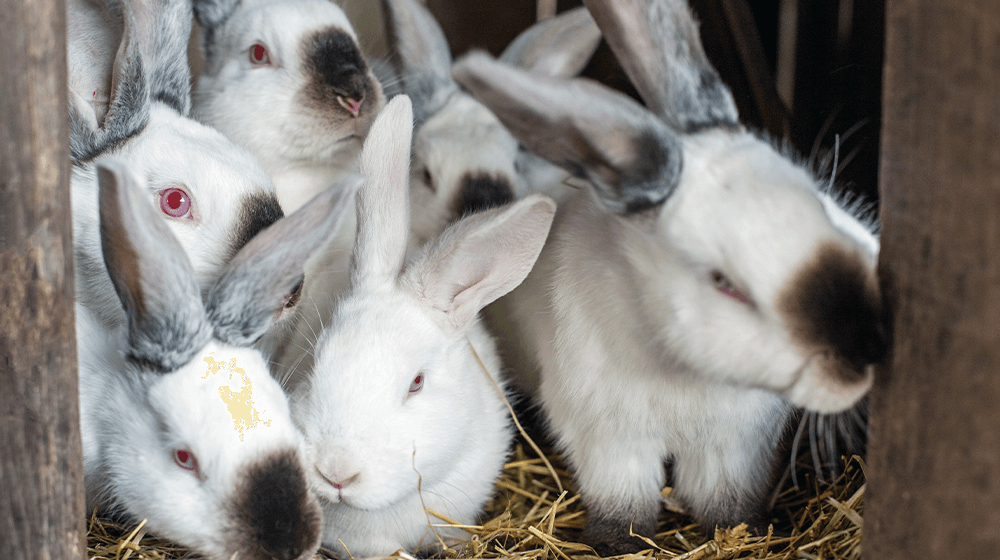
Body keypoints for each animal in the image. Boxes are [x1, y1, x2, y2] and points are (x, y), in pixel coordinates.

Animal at [452, 0, 888, 554]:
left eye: (822, 201)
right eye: (725, 283)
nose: (866, 347)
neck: (685, 369)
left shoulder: (735, 448)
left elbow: (726, 503)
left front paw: (750, 533)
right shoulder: (611, 443)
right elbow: (625, 506)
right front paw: (618, 546)